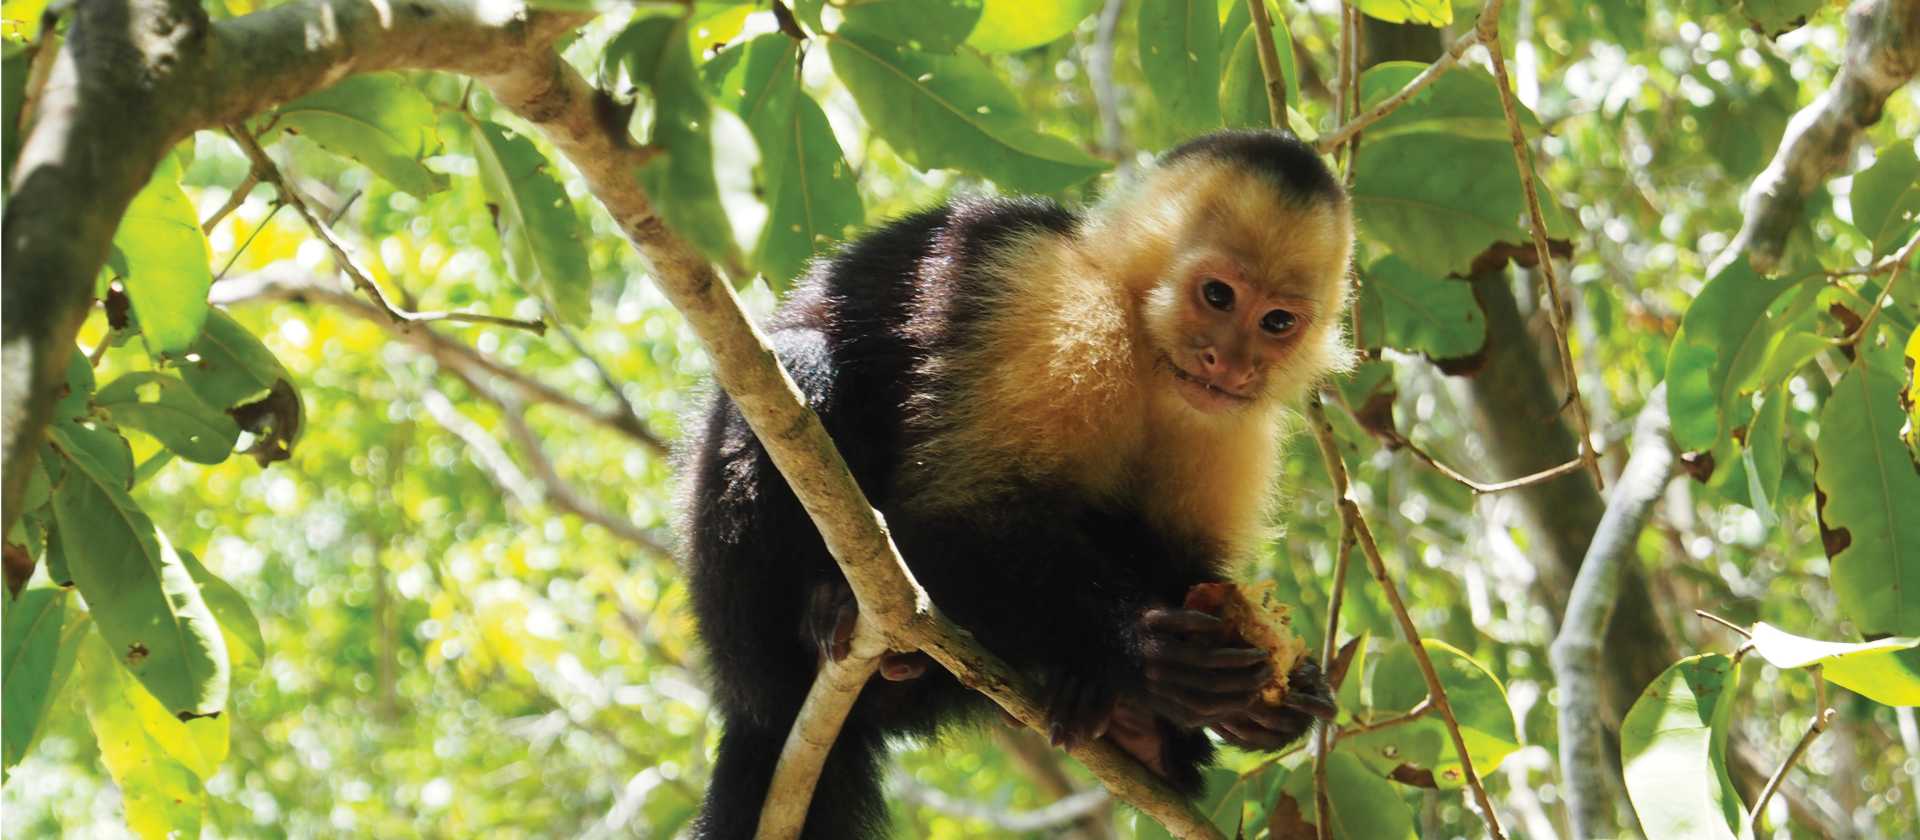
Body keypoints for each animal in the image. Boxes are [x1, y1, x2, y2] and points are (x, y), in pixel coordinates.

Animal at [678, 129, 1352, 839]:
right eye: (1217, 295)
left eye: (1277, 322)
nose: (1231, 363)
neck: (1144, 344)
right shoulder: (1052, 304)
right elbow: (952, 517)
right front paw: (1145, 651)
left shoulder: (1233, 425)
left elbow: (1182, 560)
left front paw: (1273, 704)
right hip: (735, 624)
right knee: (803, 368)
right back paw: (824, 619)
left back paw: (1127, 723)